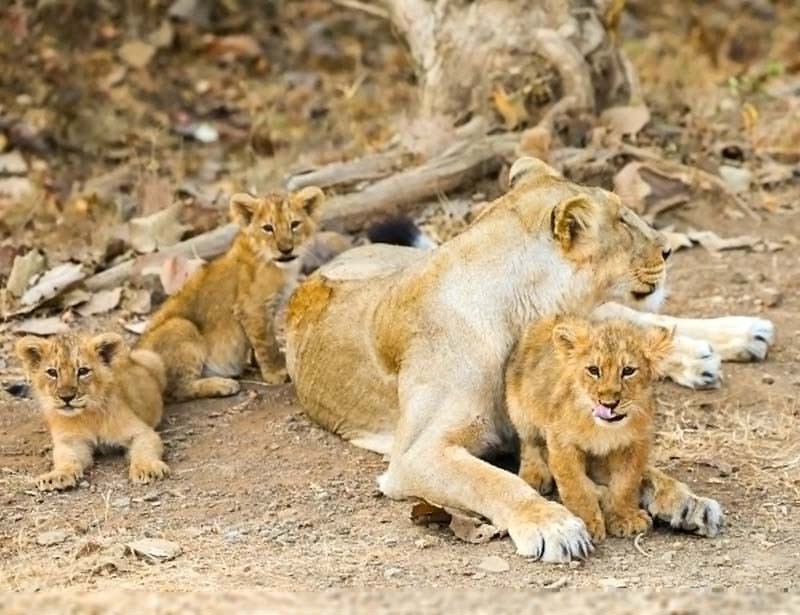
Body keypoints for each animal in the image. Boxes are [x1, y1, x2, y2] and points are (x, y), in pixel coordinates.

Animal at [15, 332, 169, 490]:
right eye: (52, 372)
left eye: (83, 371)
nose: (66, 397)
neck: (88, 415)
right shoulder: (71, 441)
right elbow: (66, 458)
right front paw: (57, 476)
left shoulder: (142, 432)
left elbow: (144, 449)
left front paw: (147, 468)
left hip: (152, 358)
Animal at [137, 187, 325, 400]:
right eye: (268, 228)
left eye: (294, 224)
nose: (286, 249)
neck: (277, 265)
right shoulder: (252, 308)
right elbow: (267, 343)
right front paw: (276, 373)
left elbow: (257, 343)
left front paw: (257, 364)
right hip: (181, 326)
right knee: (178, 389)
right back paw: (223, 384)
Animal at [505, 317, 687, 541]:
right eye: (593, 370)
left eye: (628, 371)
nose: (609, 403)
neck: (603, 428)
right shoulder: (561, 442)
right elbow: (575, 486)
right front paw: (587, 522)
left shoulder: (636, 443)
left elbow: (626, 483)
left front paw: (624, 517)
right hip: (520, 409)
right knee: (529, 442)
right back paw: (535, 475)